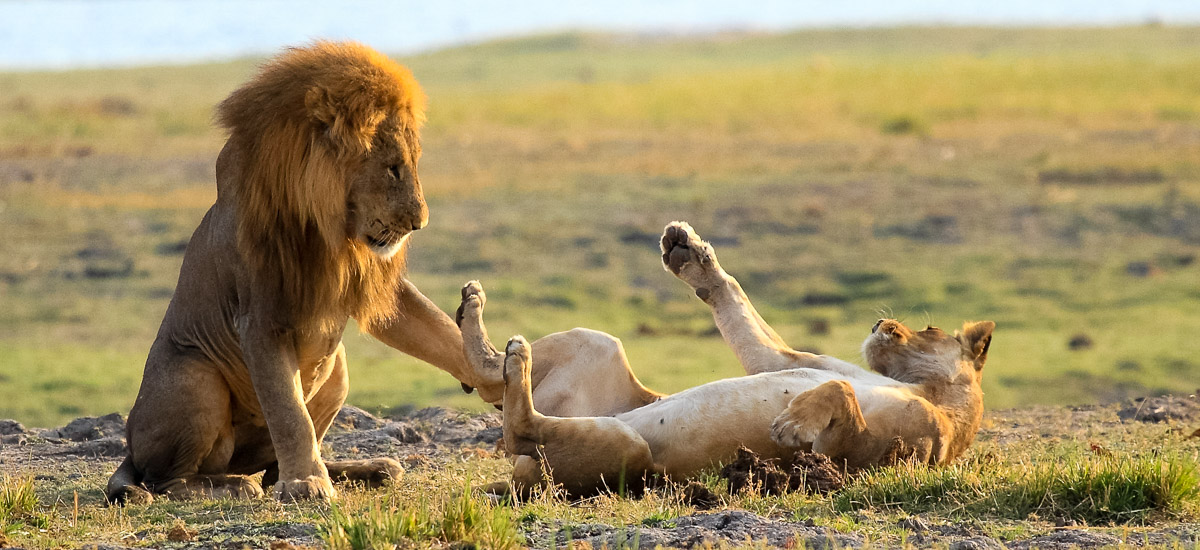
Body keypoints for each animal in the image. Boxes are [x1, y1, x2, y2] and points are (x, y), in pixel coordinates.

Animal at [103, 42, 506, 504]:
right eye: (393, 168)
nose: (419, 223)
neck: (331, 232)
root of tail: (129, 447)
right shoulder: (259, 318)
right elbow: (289, 413)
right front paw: (308, 485)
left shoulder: (372, 283)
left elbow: (435, 328)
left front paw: (489, 371)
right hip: (194, 379)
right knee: (169, 480)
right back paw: (232, 485)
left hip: (337, 370)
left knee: (271, 470)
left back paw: (368, 470)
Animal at [453, 222, 988, 494]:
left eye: (930, 329)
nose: (880, 324)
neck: (925, 388)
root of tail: (516, 479)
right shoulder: (787, 359)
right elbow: (741, 313)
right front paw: (689, 253)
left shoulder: (876, 452)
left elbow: (840, 395)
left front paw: (790, 424)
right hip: (597, 346)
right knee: (490, 381)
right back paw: (473, 313)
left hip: (629, 451)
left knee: (521, 427)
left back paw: (513, 354)